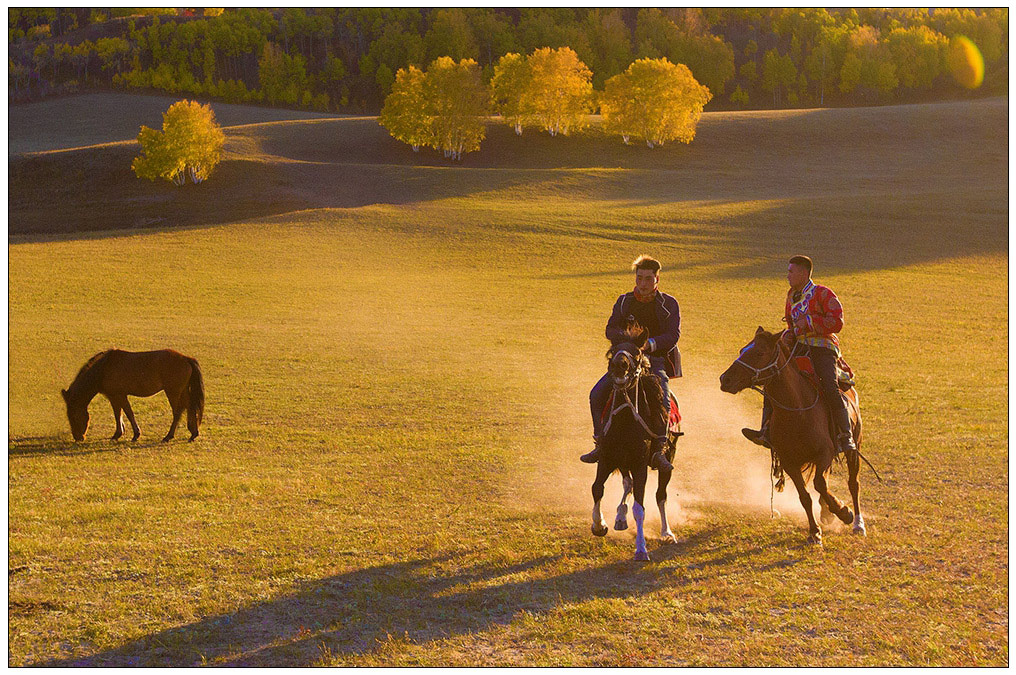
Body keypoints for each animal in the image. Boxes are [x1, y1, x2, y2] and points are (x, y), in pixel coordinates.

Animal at [60, 349, 204, 445]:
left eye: (73, 416)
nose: (78, 437)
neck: (104, 369)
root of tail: (186, 358)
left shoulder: (119, 395)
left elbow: (128, 413)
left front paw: (135, 434)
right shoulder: (113, 396)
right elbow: (119, 413)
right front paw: (118, 434)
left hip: (173, 392)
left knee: (178, 412)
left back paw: (168, 436)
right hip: (182, 391)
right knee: (190, 407)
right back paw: (193, 433)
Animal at [719, 329, 861, 544]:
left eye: (759, 352)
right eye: (742, 350)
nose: (724, 379)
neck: (797, 411)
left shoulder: (825, 453)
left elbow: (820, 484)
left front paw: (844, 512)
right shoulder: (789, 462)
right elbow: (806, 496)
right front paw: (815, 531)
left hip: (855, 447)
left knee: (853, 483)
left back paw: (858, 523)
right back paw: (827, 513)